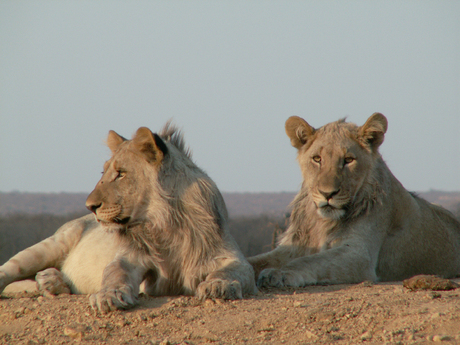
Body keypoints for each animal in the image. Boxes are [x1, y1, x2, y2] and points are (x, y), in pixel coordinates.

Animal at [0, 122, 256, 310]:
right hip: (49, 246)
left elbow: (232, 270)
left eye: (121, 173)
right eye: (103, 172)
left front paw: (218, 285)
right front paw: (108, 296)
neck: (166, 223)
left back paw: (51, 282)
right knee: (8, 270)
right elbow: (115, 273)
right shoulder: (130, 257)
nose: (89, 206)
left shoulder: (230, 255)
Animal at [248, 113, 460, 288]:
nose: (327, 194)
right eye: (317, 159)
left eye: (348, 160)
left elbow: (311, 261)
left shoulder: (359, 253)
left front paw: (280, 273)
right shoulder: (296, 245)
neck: (323, 221)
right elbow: (257, 260)